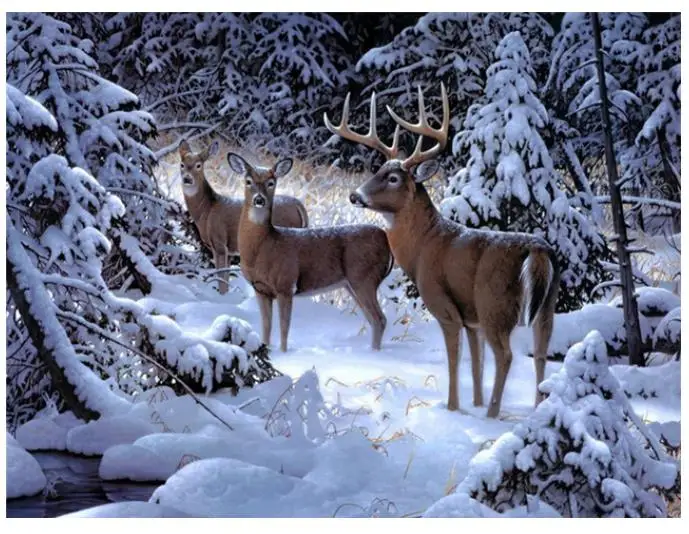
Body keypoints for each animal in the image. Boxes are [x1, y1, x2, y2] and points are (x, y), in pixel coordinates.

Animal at [179, 140, 308, 294]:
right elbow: (225, 279)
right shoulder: (229, 251)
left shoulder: (219, 242)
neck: (207, 210)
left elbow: (221, 280)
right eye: (182, 164)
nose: (187, 178)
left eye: (199, 165)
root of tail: (299, 205)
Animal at [227, 151, 393, 353]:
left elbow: (284, 328)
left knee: (380, 319)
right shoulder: (261, 289)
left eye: (271, 182)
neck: (263, 247)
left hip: (364, 277)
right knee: (374, 320)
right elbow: (266, 327)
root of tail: (386, 241)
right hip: (352, 283)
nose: (259, 199)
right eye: (248, 181)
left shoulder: (286, 284)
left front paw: (284, 354)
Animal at [324, 84, 560, 418]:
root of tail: (538, 249)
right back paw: (536, 410)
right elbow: (476, 363)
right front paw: (475, 402)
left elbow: (455, 361)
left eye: (393, 178)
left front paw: (453, 408)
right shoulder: (471, 317)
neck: (424, 246)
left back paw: (492, 415)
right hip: (546, 305)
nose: (355, 195)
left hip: (496, 304)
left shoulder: (445, 306)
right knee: (540, 353)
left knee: (506, 356)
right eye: (377, 170)